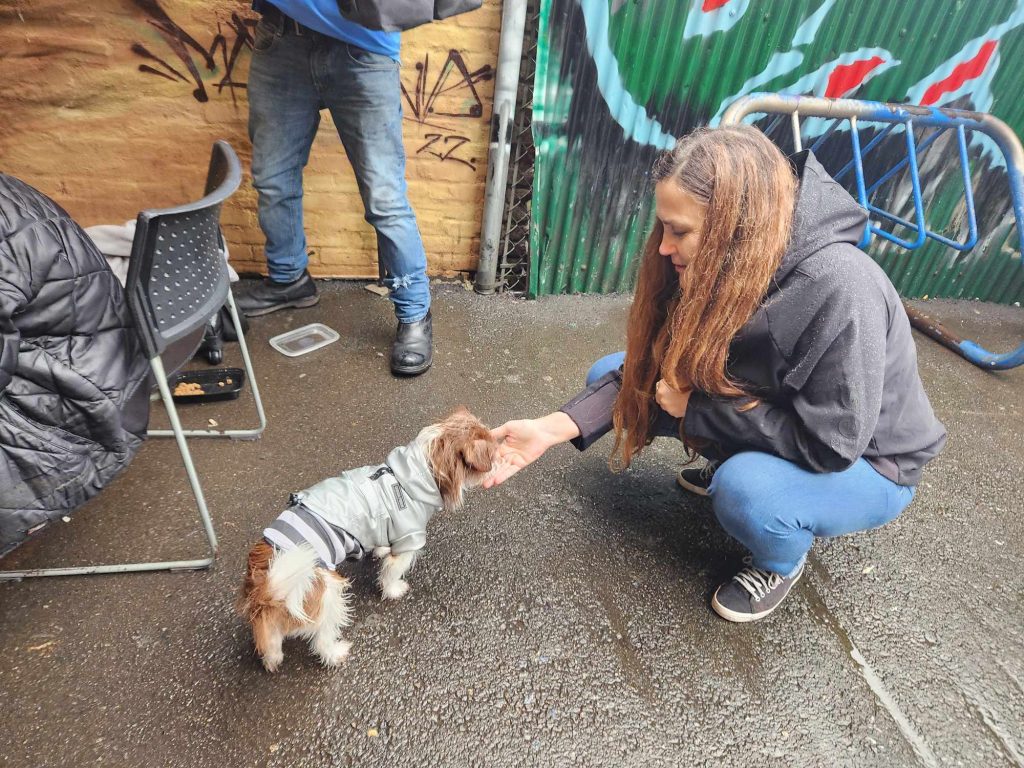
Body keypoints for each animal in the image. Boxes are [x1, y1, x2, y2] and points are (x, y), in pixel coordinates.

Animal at [236, 409, 499, 671]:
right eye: (492, 454)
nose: (499, 460)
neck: (421, 470)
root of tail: (266, 584)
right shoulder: (408, 540)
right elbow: (391, 572)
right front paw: (393, 590)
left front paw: (380, 551)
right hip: (327, 595)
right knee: (321, 638)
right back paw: (335, 653)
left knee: (269, 637)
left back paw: (272, 658)